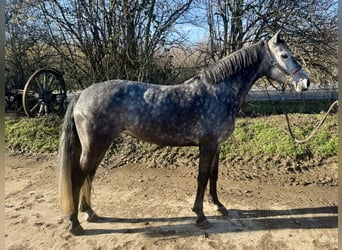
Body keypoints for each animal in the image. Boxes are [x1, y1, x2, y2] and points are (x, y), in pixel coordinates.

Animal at [58, 30, 310, 234]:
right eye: (284, 56)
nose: (305, 82)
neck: (218, 92)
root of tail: (81, 95)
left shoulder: (217, 145)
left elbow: (213, 176)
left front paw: (218, 206)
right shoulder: (207, 145)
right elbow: (202, 177)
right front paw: (200, 216)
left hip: (98, 146)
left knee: (89, 175)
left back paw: (90, 213)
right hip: (95, 146)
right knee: (78, 177)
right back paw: (75, 224)